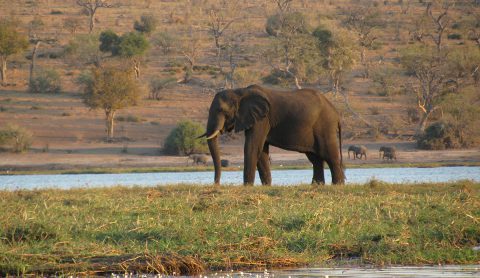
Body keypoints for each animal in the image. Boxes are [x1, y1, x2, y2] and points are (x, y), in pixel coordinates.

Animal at [199, 83, 344, 186]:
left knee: (329, 155)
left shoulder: (262, 119)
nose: (216, 184)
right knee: (315, 159)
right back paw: (317, 185)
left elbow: (252, 147)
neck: (239, 92)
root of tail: (336, 113)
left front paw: (247, 186)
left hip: (325, 126)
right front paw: (266, 186)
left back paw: (337, 185)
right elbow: (262, 150)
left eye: (221, 110)